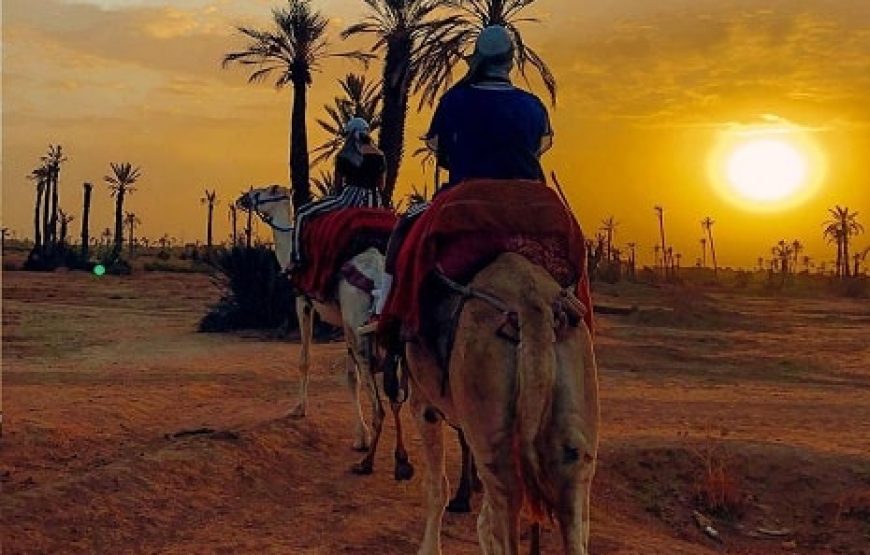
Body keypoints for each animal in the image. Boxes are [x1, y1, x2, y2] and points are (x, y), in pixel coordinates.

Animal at [238, 188, 416, 482]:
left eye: (262, 192)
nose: (242, 198)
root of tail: (378, 275)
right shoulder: (342, 323)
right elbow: (350, 377)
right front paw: (360, 436)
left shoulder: (304, 302)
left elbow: (306, 360)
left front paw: (299, 409)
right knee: (397, 396)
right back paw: (402, 461)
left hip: (358, 328)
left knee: (380, 401)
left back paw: (367, 463)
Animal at [408, 253, 600, 555]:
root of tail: (532, 308)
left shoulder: (422, 400)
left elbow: (436, 488)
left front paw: (429, 549)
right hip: (578, 386)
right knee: (573, 488)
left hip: (488, 413)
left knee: (505, 493)